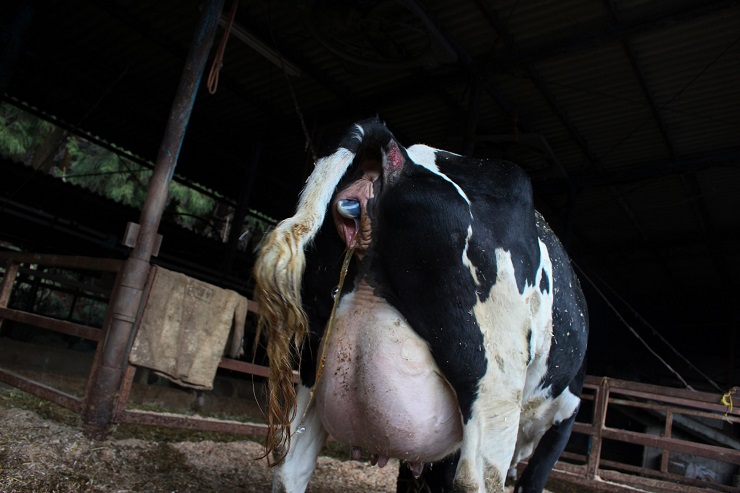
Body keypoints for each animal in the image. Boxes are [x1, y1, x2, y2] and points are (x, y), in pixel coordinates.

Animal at [254, 116, 588, 492]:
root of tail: (397, 152)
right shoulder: (566, 414)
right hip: (494, 384)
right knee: (475, 478)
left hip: (316, 361)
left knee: (290, 465)